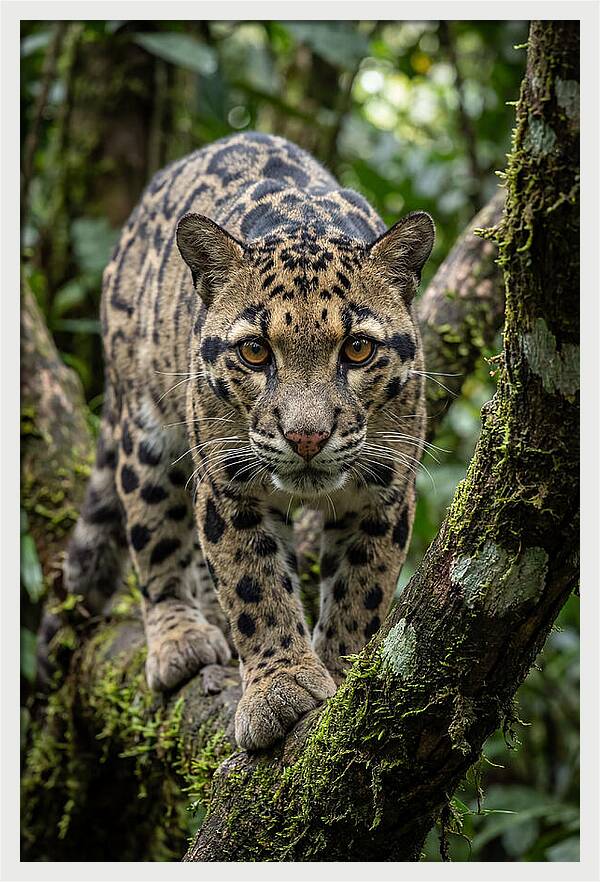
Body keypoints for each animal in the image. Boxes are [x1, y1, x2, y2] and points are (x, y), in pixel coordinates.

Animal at [64, 131, 434, 751]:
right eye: (255, 351)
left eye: (357, 349)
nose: (306, 436)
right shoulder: (228, 483)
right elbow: (253, 584)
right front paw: (280, 689)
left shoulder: (384, 489)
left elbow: (362, 588)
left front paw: (341, 672)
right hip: (144, 431)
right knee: (154, 537)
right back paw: (181, 638)